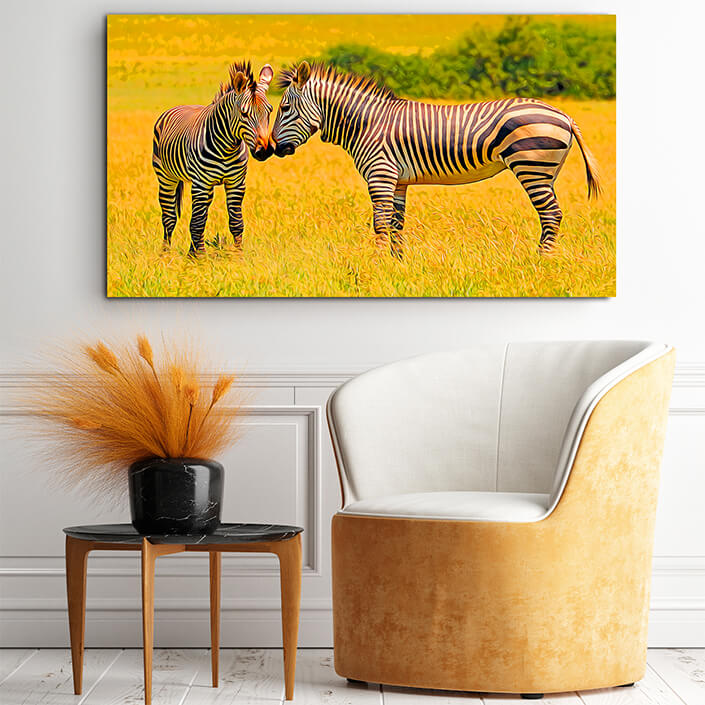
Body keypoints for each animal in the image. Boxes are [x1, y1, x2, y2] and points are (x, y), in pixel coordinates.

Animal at [152, 61, 274, 254]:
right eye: (244, 113)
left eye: (269, 111)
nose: (264, 151)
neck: (226, 148)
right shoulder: (200, 184)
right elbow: (197, 224)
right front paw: (200, 258)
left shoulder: (236, 184)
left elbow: (236, 223)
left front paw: (238, 255)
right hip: (166, 177)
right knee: (169, 217)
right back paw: (165, 254)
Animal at [270, 61, 601, 256]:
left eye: (284, 108)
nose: (271, 148)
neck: (367, 123)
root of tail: (564, 114)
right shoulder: (398, 181)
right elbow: (396, 223)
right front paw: (397, 264)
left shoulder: (380, 175)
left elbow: (380, 223)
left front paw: (376, 264)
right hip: (548, 172)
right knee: (552, 215)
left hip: (531, 166)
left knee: (551, 215)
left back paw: (541, 262)